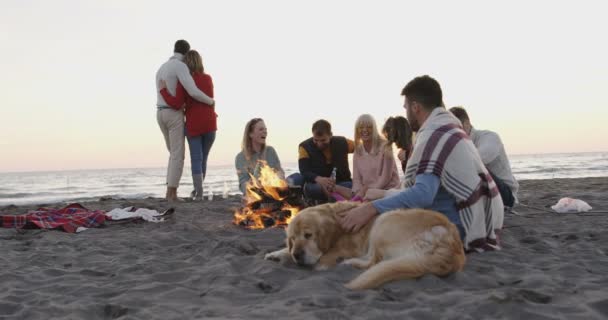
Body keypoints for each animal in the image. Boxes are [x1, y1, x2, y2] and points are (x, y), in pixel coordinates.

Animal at [264, 202, 468, 290]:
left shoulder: (346, 246)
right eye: (292, 238)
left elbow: (327, 255)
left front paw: (323, 262)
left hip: (385, 220)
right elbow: (285, 250)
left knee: (373, 261)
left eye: (309, 235)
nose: (298, 255)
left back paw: (349, 262)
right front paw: (276, 253)